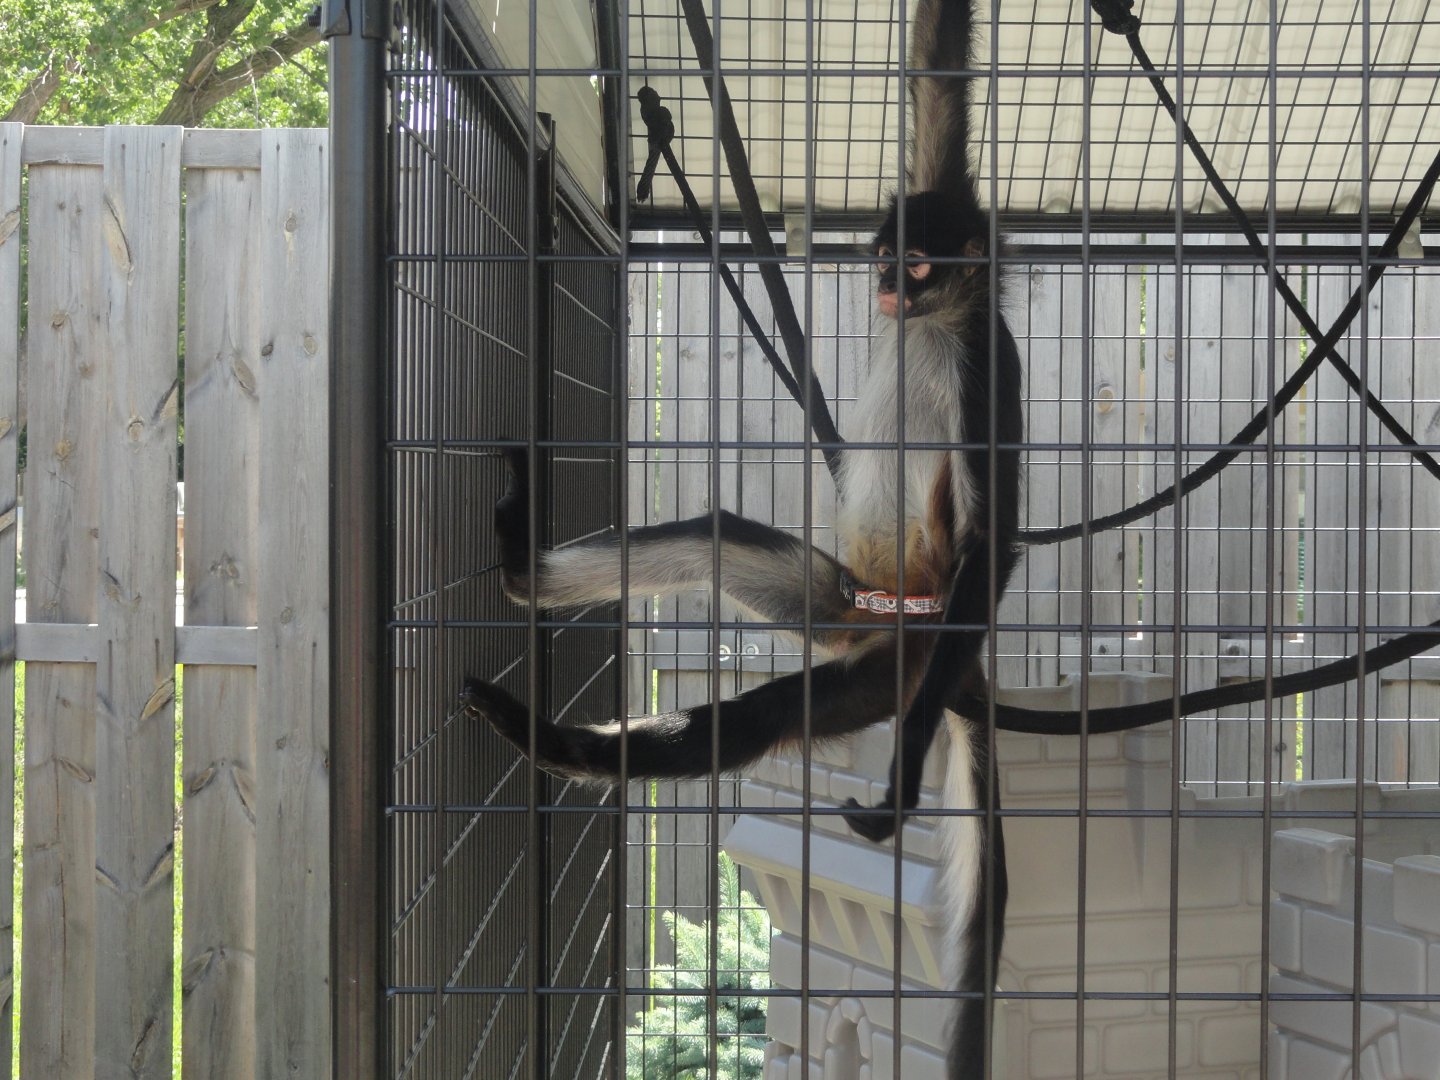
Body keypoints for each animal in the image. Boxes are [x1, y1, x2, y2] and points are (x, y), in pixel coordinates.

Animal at [461, 0, 1018, 1073]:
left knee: (751, 721)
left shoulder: (983, 377)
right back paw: (519, 574)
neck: (939, 322)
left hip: (900, 662)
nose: (883, 286)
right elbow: (936, 72)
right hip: (831, 601)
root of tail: (890, 627)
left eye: (914, 263)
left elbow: (993, 548)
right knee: (713, 540)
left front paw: (898, 788)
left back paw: (542, 738)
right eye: (882, 256)